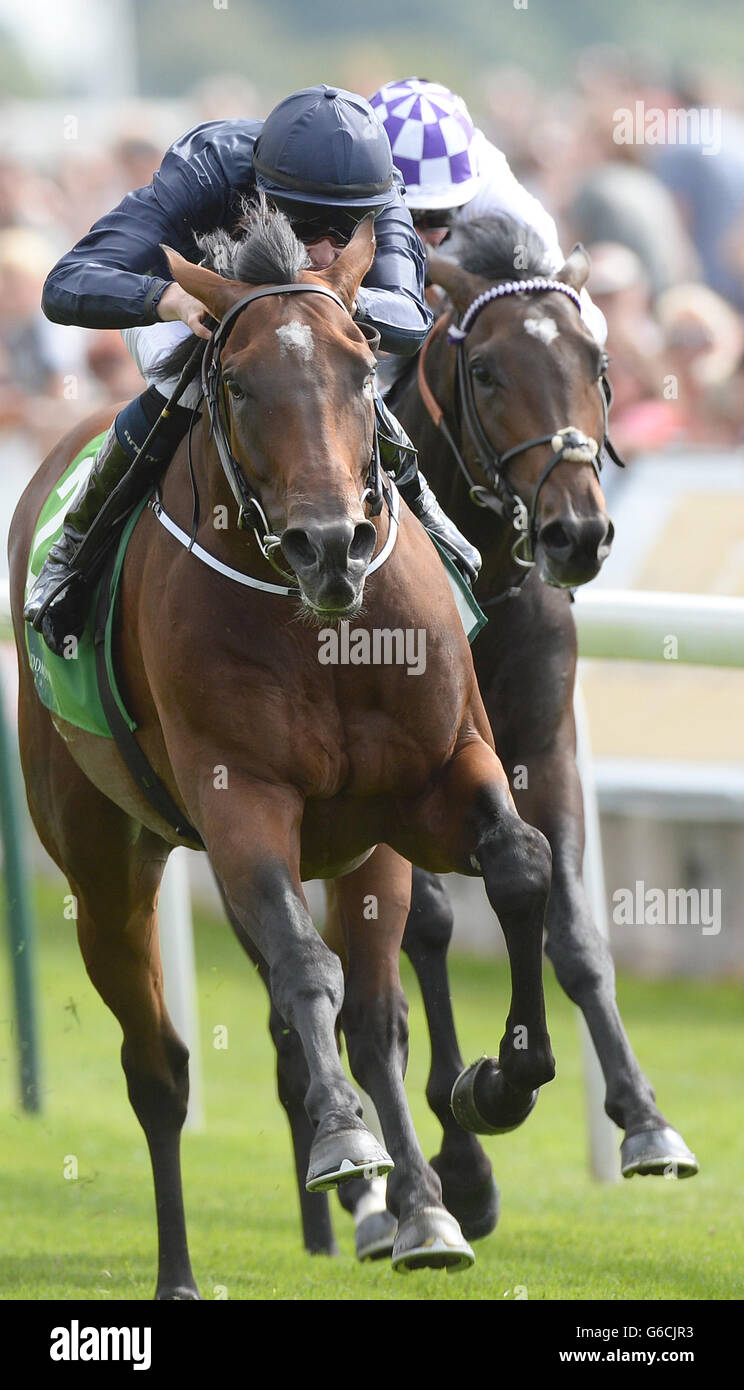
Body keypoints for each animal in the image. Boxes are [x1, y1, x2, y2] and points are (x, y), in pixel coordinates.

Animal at [8, 205, 559, 1289]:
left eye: (358, 368)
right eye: (236, 382)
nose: (331, 542)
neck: (321, 627)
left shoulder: (436, 776)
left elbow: (520, 862)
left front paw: (500, 1080)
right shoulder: (242, 803)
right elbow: (304, 968)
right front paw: (342, 1138)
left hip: (361, 852)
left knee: (377, 1021)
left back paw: (426, 1216)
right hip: (103, 866)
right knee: (159, 1069)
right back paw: (182, 1269)